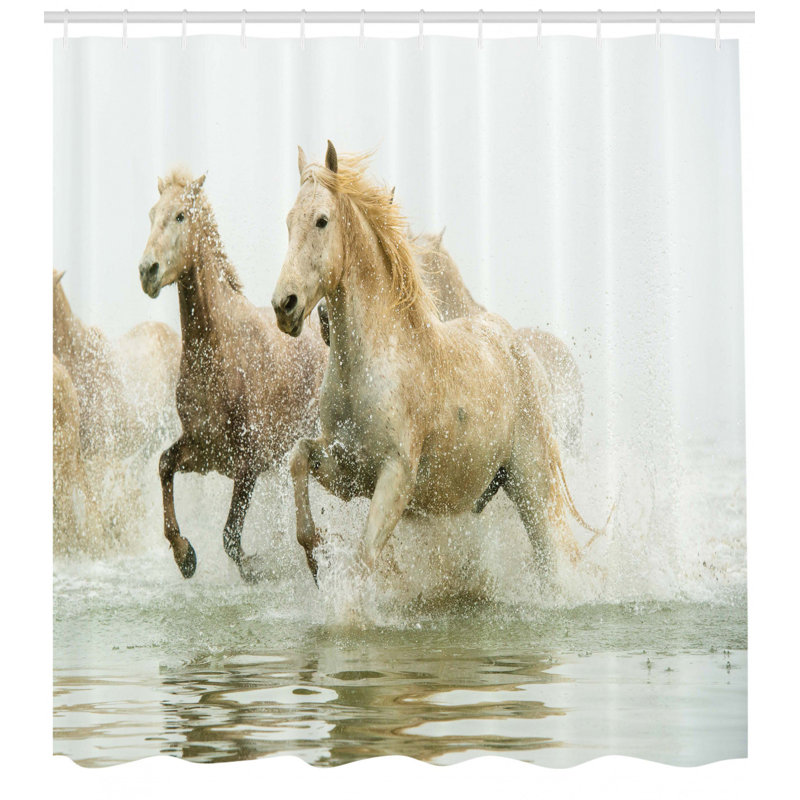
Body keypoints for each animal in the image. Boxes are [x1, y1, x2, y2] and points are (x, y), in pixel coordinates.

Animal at [138, 168, 327, 581]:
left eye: (181, 215)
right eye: (151, 214)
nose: (147, 272)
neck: (219, 355)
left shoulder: (248, 463)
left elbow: (230, 536)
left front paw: (258, 570)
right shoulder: (204, 451)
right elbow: (163, 465)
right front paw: (185, 556)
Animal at [272, 142, 603, 583]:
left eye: (321, 220)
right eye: (289, 221)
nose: (284, 306)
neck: (371, 364)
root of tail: (519, 349)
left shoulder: (395, 478)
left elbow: (365, 558)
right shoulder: (347, 471)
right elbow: (298, 458)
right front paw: (313, 555)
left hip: (533, 487)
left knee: (555, 556)